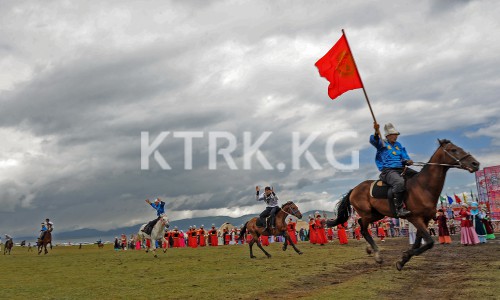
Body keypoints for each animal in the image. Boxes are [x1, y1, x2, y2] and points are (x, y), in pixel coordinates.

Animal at [326, 139, 478, 270]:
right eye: (454, 150)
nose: (475, 163)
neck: (423, 187)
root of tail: (354, 189)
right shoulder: (415, 218)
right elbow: (429, 242)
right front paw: (404, 257)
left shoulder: (424, 219)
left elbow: (418, 242)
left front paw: (404, 259)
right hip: (367, 213)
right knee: (362, 228)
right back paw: (377, 254)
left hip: (377, 214)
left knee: (360, 224)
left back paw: (370, 249)